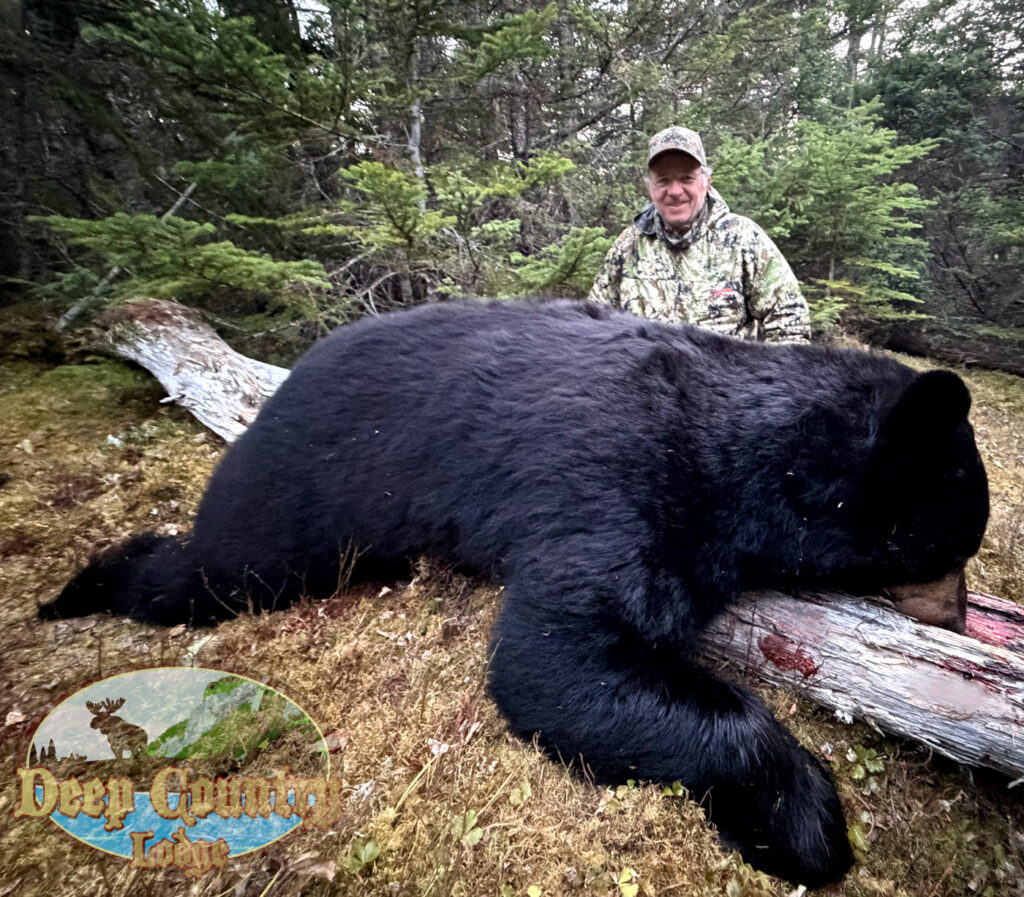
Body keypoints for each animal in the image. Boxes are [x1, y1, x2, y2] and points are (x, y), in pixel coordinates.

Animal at [41, 299, 989, 886]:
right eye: (953, 545)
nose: (964, 617)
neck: (750, 457)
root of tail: (297, 364)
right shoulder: (626, 487)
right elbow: (558, 658)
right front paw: (808, 823)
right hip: (312, 478)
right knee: (217, 567)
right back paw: (82, 585)